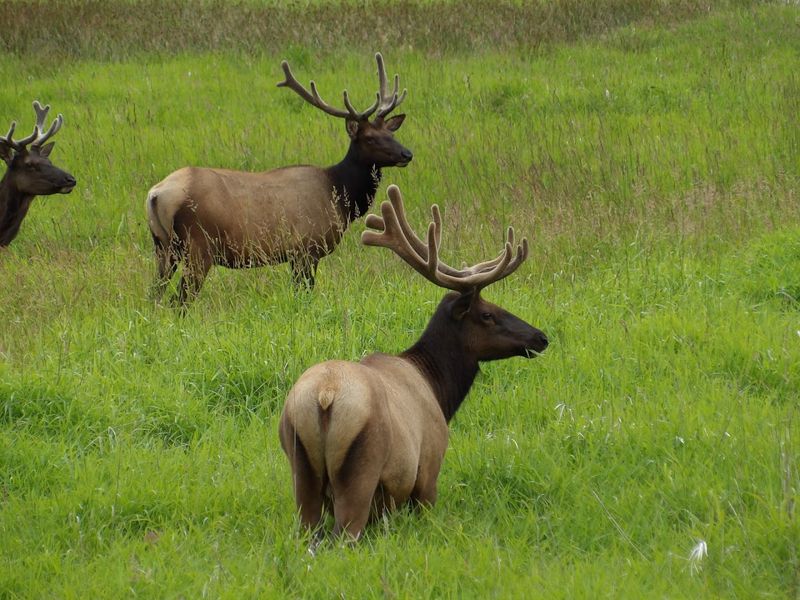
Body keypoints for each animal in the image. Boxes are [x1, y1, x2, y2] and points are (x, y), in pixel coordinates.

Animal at [146, 53, 412, 305]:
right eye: (370, 138)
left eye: (391, 133)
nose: (407, 153)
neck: (340, 195)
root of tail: (156, 194)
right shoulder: (306, 248)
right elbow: (304, 294)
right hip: (198, 246)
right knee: (178, 300)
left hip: (163, 247)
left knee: (154, 296)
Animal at [279, 184, 549, 542]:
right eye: (487, 314)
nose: (540, 337)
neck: (439, 391)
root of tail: (325, 396)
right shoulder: (430, 469)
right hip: (361, 469)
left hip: (301, 468)